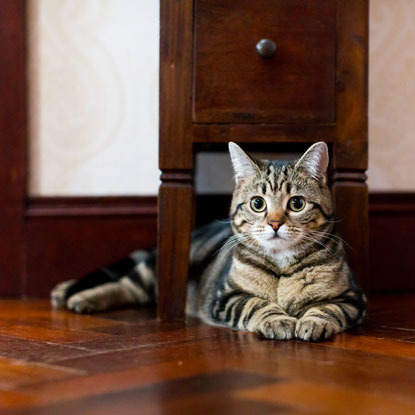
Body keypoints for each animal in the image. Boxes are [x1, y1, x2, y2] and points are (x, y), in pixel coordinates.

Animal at [52, 142, 368, 342]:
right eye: (257, 203)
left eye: (297, 203)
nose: (275, 223)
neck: (281, 267)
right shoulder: (227, 296)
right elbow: (257, 305)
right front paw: (277, 319)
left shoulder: (351, 297)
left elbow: (327, 308)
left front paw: (313, 322)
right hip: (153, 271)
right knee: (125, 285)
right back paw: (80, 297)